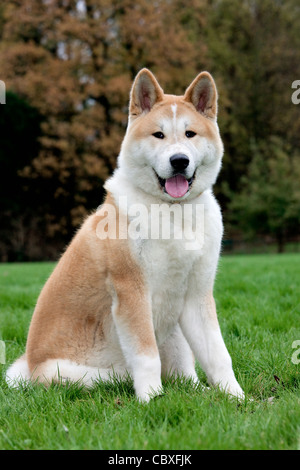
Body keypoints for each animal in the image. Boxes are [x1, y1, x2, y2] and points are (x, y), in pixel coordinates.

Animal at [6, 69, 244, 400]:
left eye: (190, 134)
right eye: (158, 135)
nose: (179, 160)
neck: (173, 211)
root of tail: (28, 368)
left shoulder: (197, 295)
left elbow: (218, 355)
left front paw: (237, 398)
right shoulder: (132, 294)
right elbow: (147, 357)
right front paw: (152, 400)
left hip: (175, 331)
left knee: (184, 374)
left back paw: (198, 391)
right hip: (76, 373)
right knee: (119, 376)